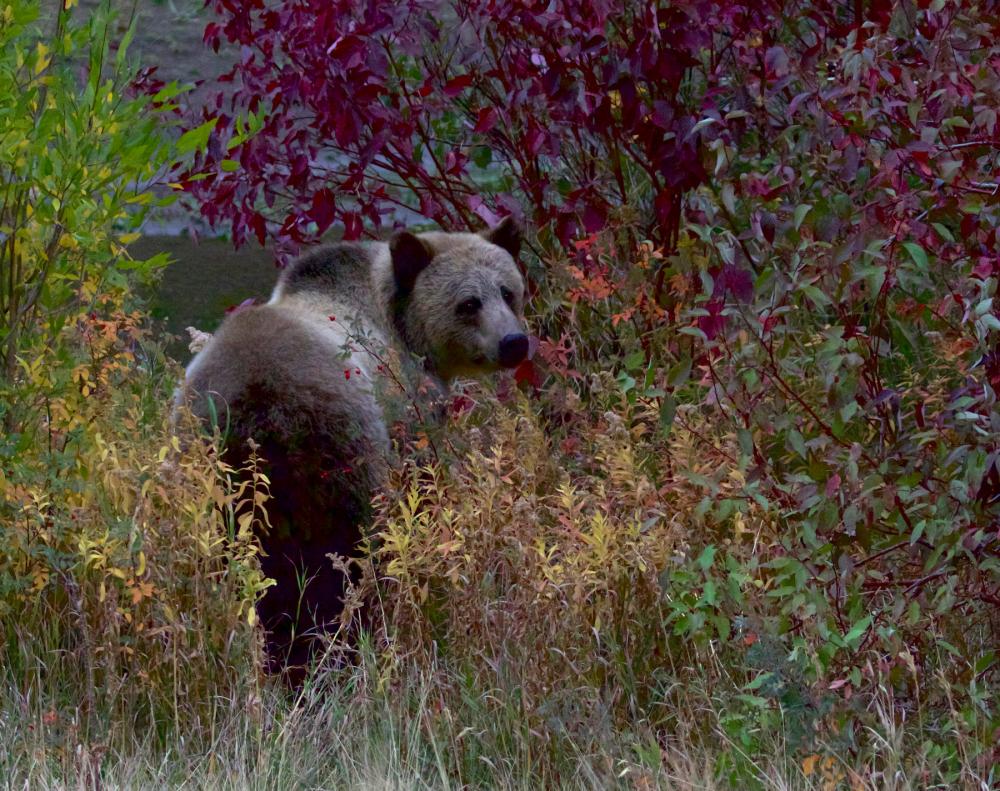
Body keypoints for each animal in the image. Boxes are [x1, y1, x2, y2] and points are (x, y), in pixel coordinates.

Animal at [179, 218, 528, 688]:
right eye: (468, 303)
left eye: (507, 291)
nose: (514, 341)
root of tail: (253, 408)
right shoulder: (404, 408)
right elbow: (422, 486)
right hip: (335, 448)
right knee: (344, 559)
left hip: (208, 477)